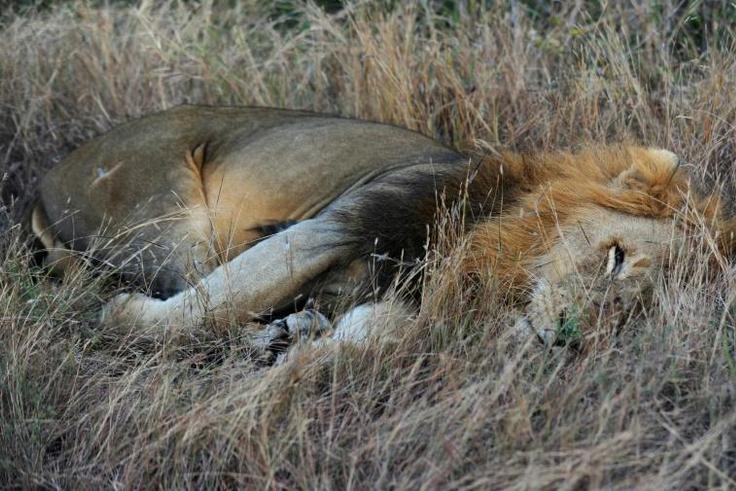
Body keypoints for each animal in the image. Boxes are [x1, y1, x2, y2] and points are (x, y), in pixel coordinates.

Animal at [31, 105, 734, 348]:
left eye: (644, 312)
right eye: (617, 258)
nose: (567, 341)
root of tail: (46, 180)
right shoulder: (338, 223)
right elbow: (220, 300)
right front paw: (122, 317)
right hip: (168, 211)